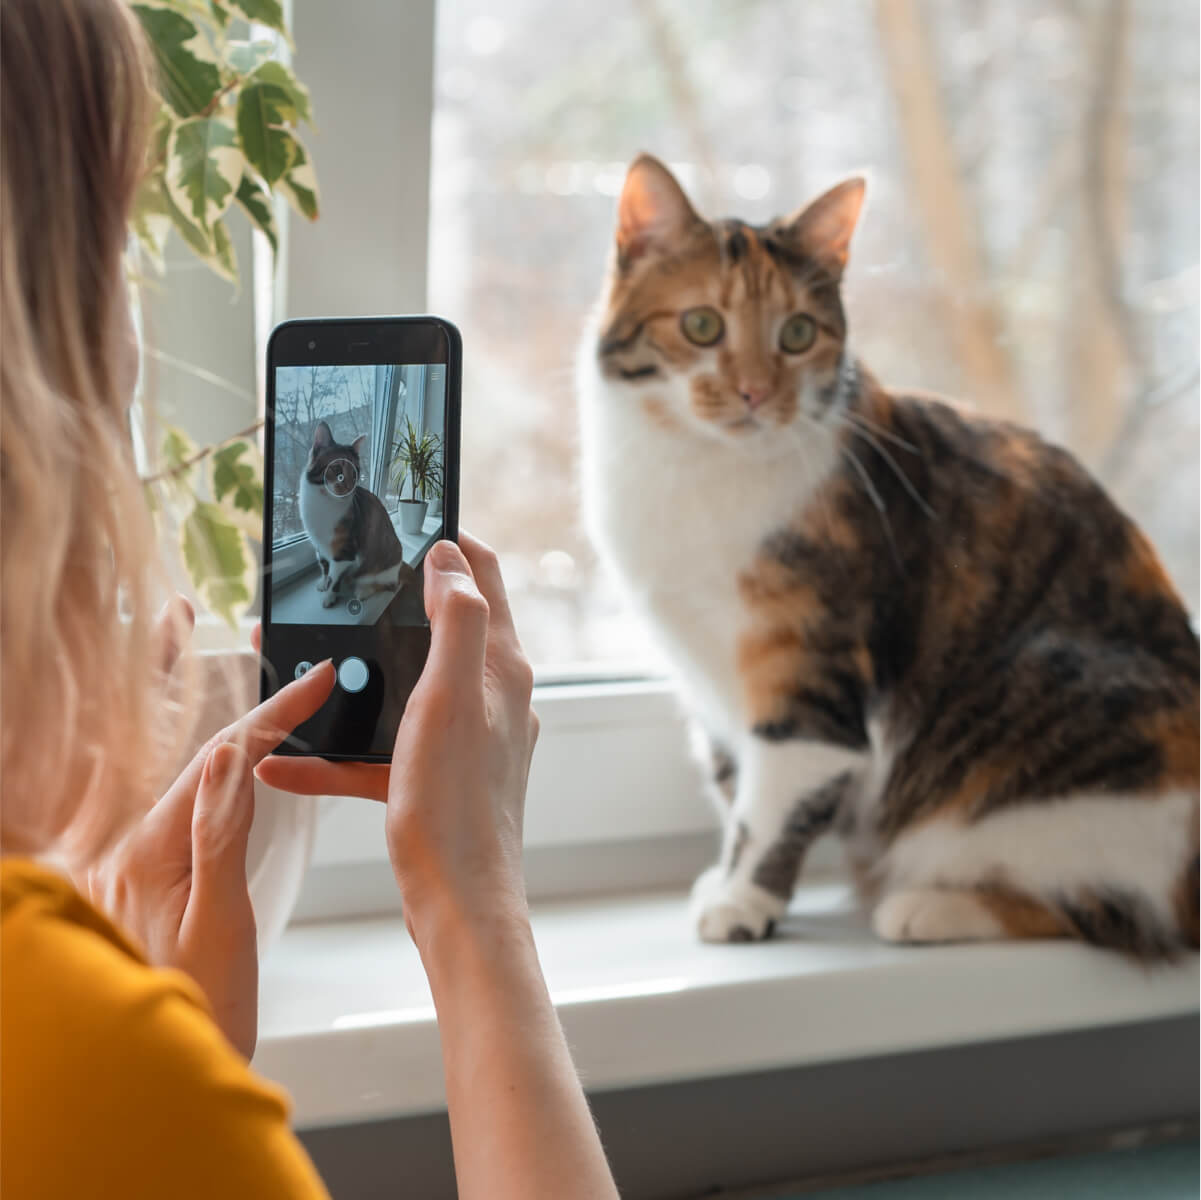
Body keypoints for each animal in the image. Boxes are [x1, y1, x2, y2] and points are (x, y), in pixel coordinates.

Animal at [297, 425, 415, 610]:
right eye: (337, 469)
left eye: (355, 473)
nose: (349, 488)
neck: (324, 502)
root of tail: (399, 565)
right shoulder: (319, 545)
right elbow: (324, 566)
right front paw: (323, 583)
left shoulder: (345, 553)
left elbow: (334, 578)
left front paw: (330, 596)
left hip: (381, 569)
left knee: (387, 585)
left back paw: (362, 590)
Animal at [576, 152, 1196, 956]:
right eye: (701, 325)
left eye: (797, 334)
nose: (753, 392)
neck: (697, 467)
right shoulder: (704, 677)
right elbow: (734, 782)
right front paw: (731, 882)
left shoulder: (807, 665)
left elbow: (775, 794)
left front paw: (745, 901)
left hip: (1063, 707)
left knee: (1114, 911)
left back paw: (930, 906)